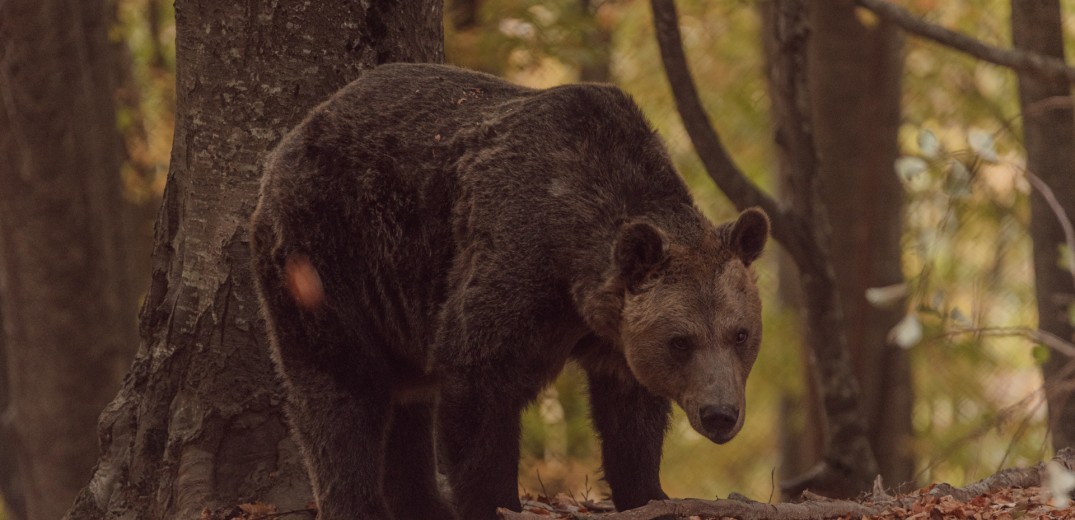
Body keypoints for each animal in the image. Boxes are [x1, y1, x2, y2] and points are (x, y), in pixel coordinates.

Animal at [249, 62, 774, 517]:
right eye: (680, 341)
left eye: (740, 334)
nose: (720, 414)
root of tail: (290, 139)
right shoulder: (516, 264)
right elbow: (478, 388)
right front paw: (495, 502)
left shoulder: (616, 334)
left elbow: (631, 417)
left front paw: (648, 492)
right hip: (328, 257)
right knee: (340, 390)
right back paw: (358, 500)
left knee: (408, 404)